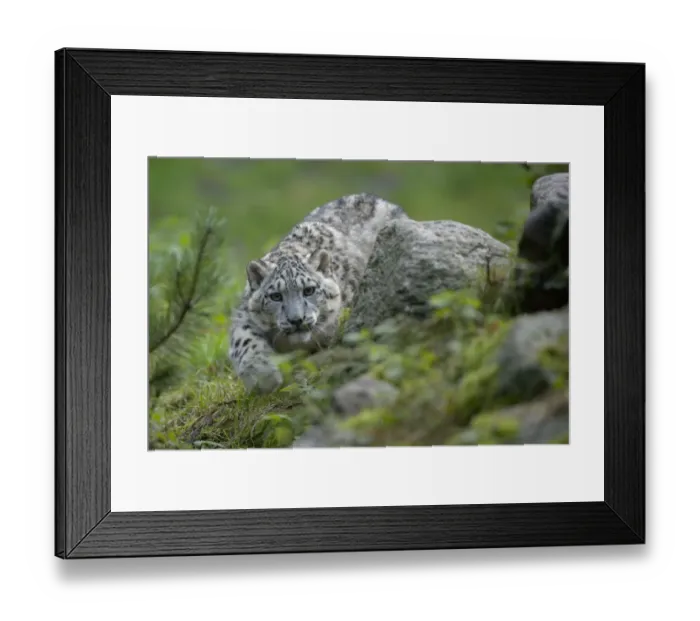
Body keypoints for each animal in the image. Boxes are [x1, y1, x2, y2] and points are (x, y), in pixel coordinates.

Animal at [228, 193, 408, 393]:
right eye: (276, 296)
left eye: (309, 290)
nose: (296, 320)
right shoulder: (243, 314)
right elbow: (244, 338)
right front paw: (261, 375)